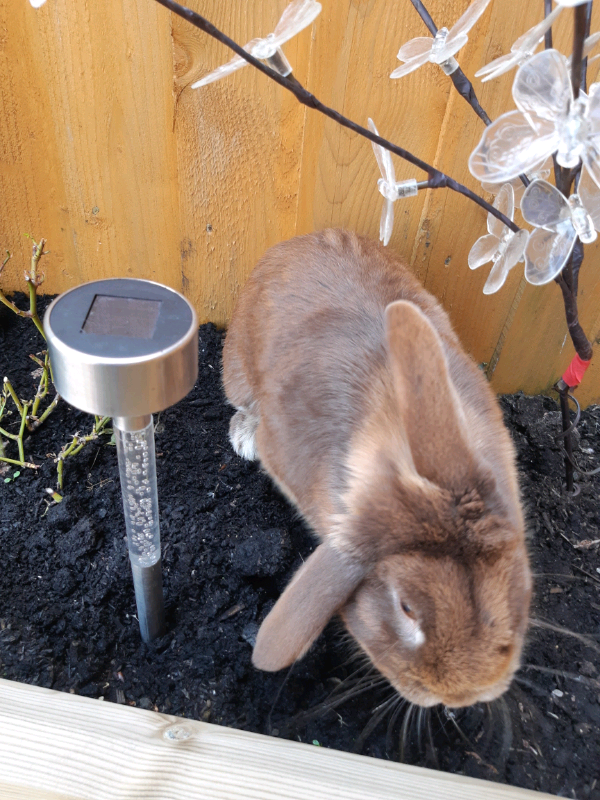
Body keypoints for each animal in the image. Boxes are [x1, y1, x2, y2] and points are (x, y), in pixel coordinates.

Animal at [222, 229, 531, 708]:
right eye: (405, 608)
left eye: (510, 586)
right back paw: (244, 436)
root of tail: (302, 238)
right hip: (236, 365)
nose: (464, 697)